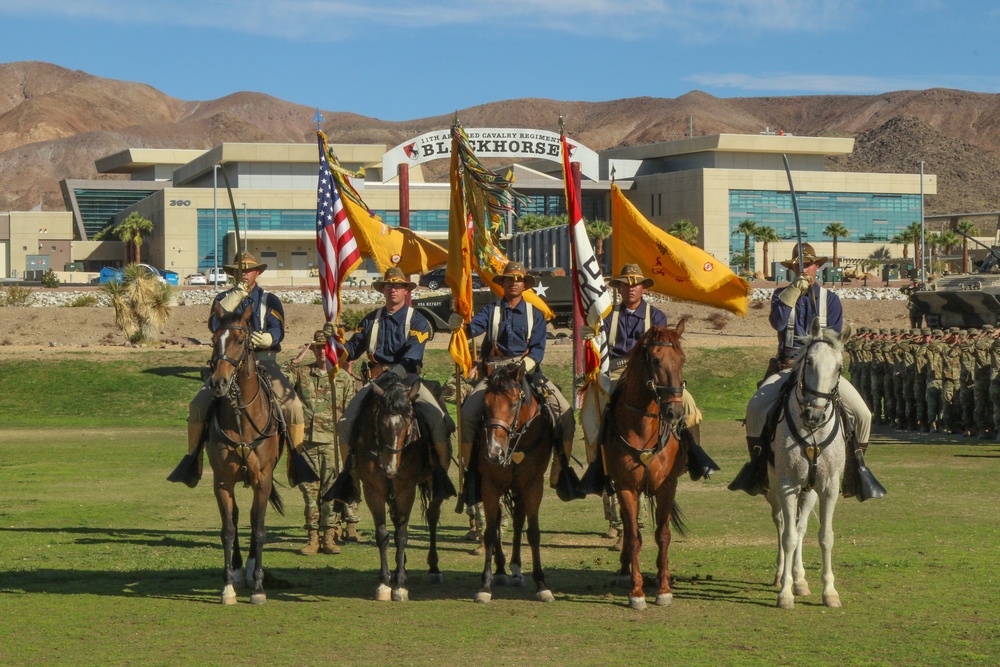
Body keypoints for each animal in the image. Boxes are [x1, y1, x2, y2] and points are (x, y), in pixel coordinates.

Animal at [204, 306, 286, 608]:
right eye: (213, 339)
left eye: (241, 340)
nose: (218, 383)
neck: (241, 418)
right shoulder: (222, 481)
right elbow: (228, 529)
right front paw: (227, 586)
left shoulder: (263, 478)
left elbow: (259, 528)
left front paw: (259, 588)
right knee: (239, 517)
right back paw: (240, 570)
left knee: (252, 518)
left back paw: (251, 570)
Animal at [352, 374, 446, 604]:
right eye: (381, 423)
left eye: (409, 422)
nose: (391, 467)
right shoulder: (373, 490)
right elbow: (383, 534)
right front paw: (385, 583)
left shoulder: (406, 489)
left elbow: (402, 534)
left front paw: (401, 586)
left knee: (432, 516)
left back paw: (433, 568)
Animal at [474, 362, 560, 608]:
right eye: (485, 404)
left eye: (513, 404)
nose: (494, 452)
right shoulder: (490, 485)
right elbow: (490, 532)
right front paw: (485, 585)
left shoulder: (533, 485)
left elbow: (533, 532)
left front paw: (542, 584)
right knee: (498, 521)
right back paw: (502, 570)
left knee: (519, 520)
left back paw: (516, 568)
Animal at [596, 318, 692, 612]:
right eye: (656, 360)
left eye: (682, 359)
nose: (674, 413)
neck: (642, 428)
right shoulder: (626, 487)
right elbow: (634, 537)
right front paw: (636, 592)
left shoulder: (667, 486)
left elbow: (663, 535)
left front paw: (664, 588)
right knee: (629, 531)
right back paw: (624, 570)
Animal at [764, 320, 852, 608]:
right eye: (809, 361)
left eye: (839, 367)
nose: (813, 415)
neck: (813, 433)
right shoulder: (787, 485)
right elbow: (788, 537)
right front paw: (785, 594)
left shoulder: (828, 487)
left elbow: (825, 536)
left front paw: (829, 592)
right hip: (773, 488)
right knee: (782, 524)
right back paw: (782, 575)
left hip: (809, 489)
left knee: (800, 526)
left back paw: (800, 579)